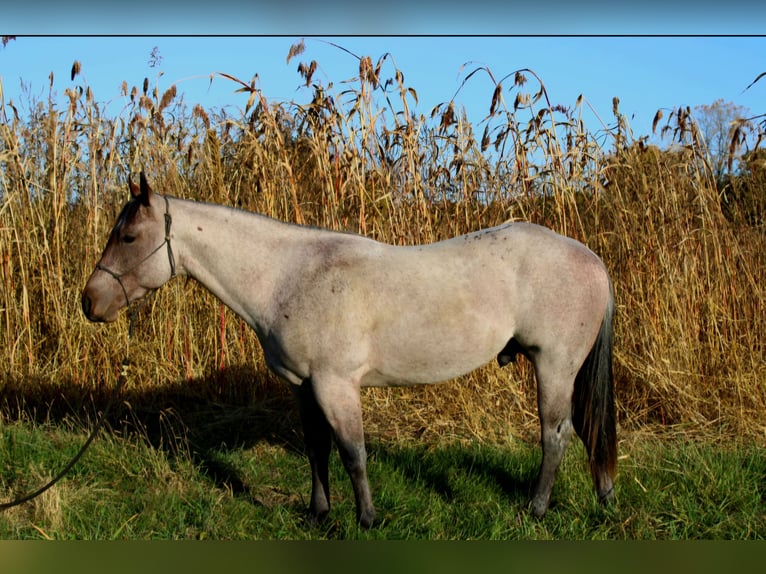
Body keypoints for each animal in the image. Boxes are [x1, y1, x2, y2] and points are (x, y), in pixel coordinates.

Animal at [82, 174, 616, 532]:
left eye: (129, 237)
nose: (90, 301)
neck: (288, 277)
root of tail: (590, 258)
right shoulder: (303, 387)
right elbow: (318, 449)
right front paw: (319, 514)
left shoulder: (336, 384)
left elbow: (352, 452)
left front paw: (367, 519)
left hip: (554, 366)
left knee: (556, 436)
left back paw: (537, 509)